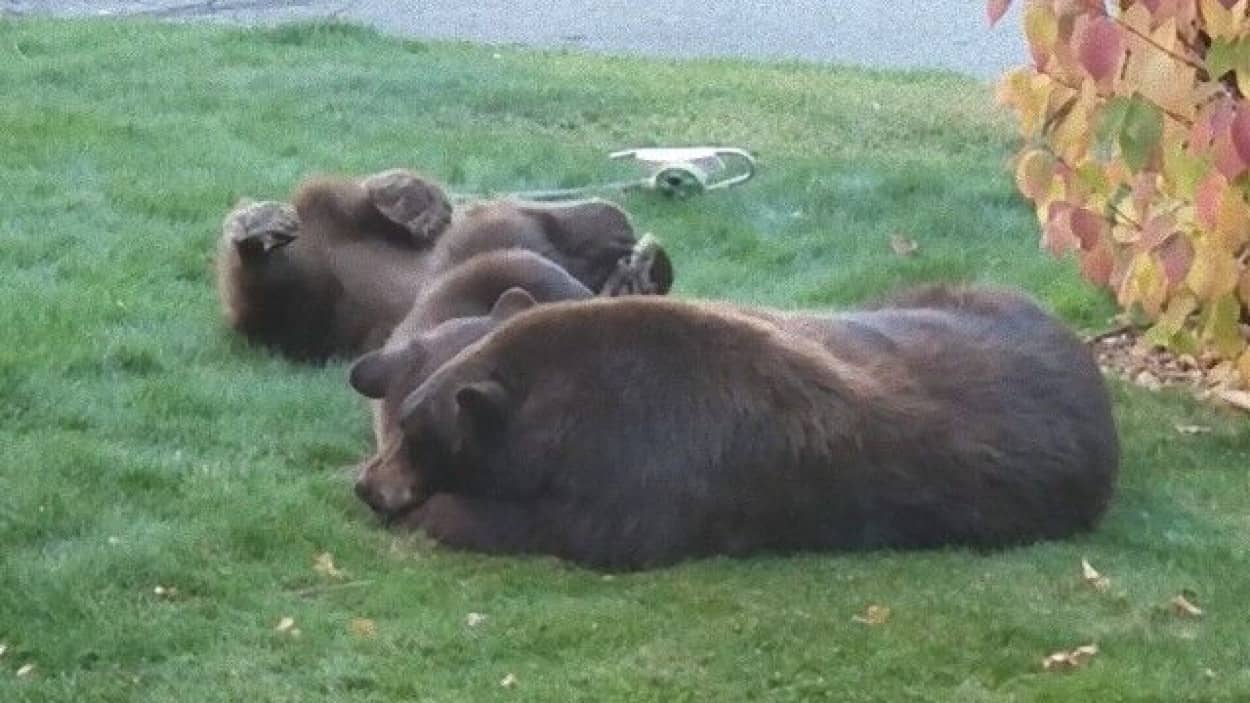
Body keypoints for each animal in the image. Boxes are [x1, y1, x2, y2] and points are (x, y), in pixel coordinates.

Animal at [215, 168, 672, 361]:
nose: (642, 258)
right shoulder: (525, 224)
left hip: (316, 309)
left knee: (278, 300)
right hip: (334, 217)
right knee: (352, 200)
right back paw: (410, 199)